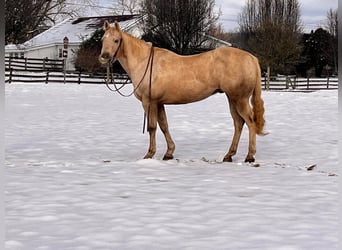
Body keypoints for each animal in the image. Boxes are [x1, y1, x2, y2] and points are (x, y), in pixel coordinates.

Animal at [97, 21, 266, 162]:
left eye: (116, 40)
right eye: (103, 39)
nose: (104, 57)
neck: (144, 62)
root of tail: (251, 58)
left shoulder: (149, 102)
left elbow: (152, 127)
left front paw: (149, 154)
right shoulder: (159, 103)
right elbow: (164, 126)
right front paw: (169, 153)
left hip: (240, 99)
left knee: (250, 122)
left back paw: (250, 156)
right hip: (232, 98)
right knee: (238, 123)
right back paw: (229, 155)